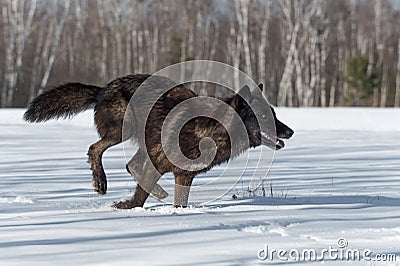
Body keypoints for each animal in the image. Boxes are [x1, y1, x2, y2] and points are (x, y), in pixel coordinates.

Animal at [25, 74, 294, 209]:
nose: (290, 132)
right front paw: (130, 207)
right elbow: (142, 193)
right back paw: (101, 182)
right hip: (122, 131)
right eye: (264, 117)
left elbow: (178, 203)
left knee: (128, 163)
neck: (210, 129)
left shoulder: (184, 175)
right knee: (95, 149)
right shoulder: (160, 163)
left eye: (274, 115)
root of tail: (103, 88)